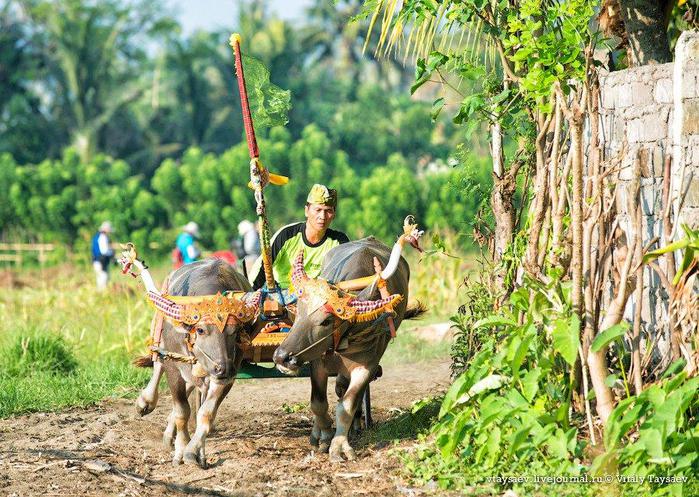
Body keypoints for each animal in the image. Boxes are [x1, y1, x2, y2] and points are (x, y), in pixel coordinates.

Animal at [274, 236, 426, 462]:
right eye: (298, 311)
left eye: (327, 321)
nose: (281, 357)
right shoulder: (317, 362)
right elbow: (318, 403)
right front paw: (323, 436)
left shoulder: (367, 367)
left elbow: (346, 406)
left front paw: (339, 447)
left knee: (343, 391)